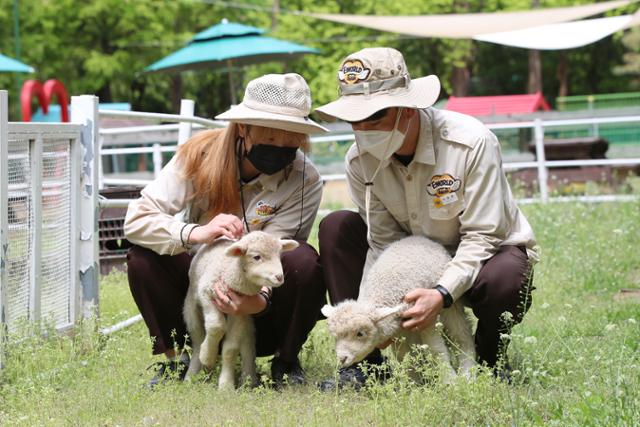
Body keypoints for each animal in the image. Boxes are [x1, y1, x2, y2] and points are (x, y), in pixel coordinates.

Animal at [181, 232, 298, 390]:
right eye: (256, 257)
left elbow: (230, 349)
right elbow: (216, 327)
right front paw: (208, 356)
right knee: (197, 338)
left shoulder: (239, 311)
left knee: (248, 343)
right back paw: (193, 373)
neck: (231, 275)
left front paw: (226, 385)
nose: (279, 277)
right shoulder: (208, 294)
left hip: (246, 321)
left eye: (279, 255)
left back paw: (249, 381)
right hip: (191, 306)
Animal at [322, 236, 478, 382]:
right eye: (335, 336)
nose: (342, 358)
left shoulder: (427, 318)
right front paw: (414, 383)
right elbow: (404, 356)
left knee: (461, 335)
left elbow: (436, 350)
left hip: (451, 305)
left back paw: (468, 373)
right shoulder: (397, 333)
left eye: (360, 333)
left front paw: (449, 381)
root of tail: (421, 238)